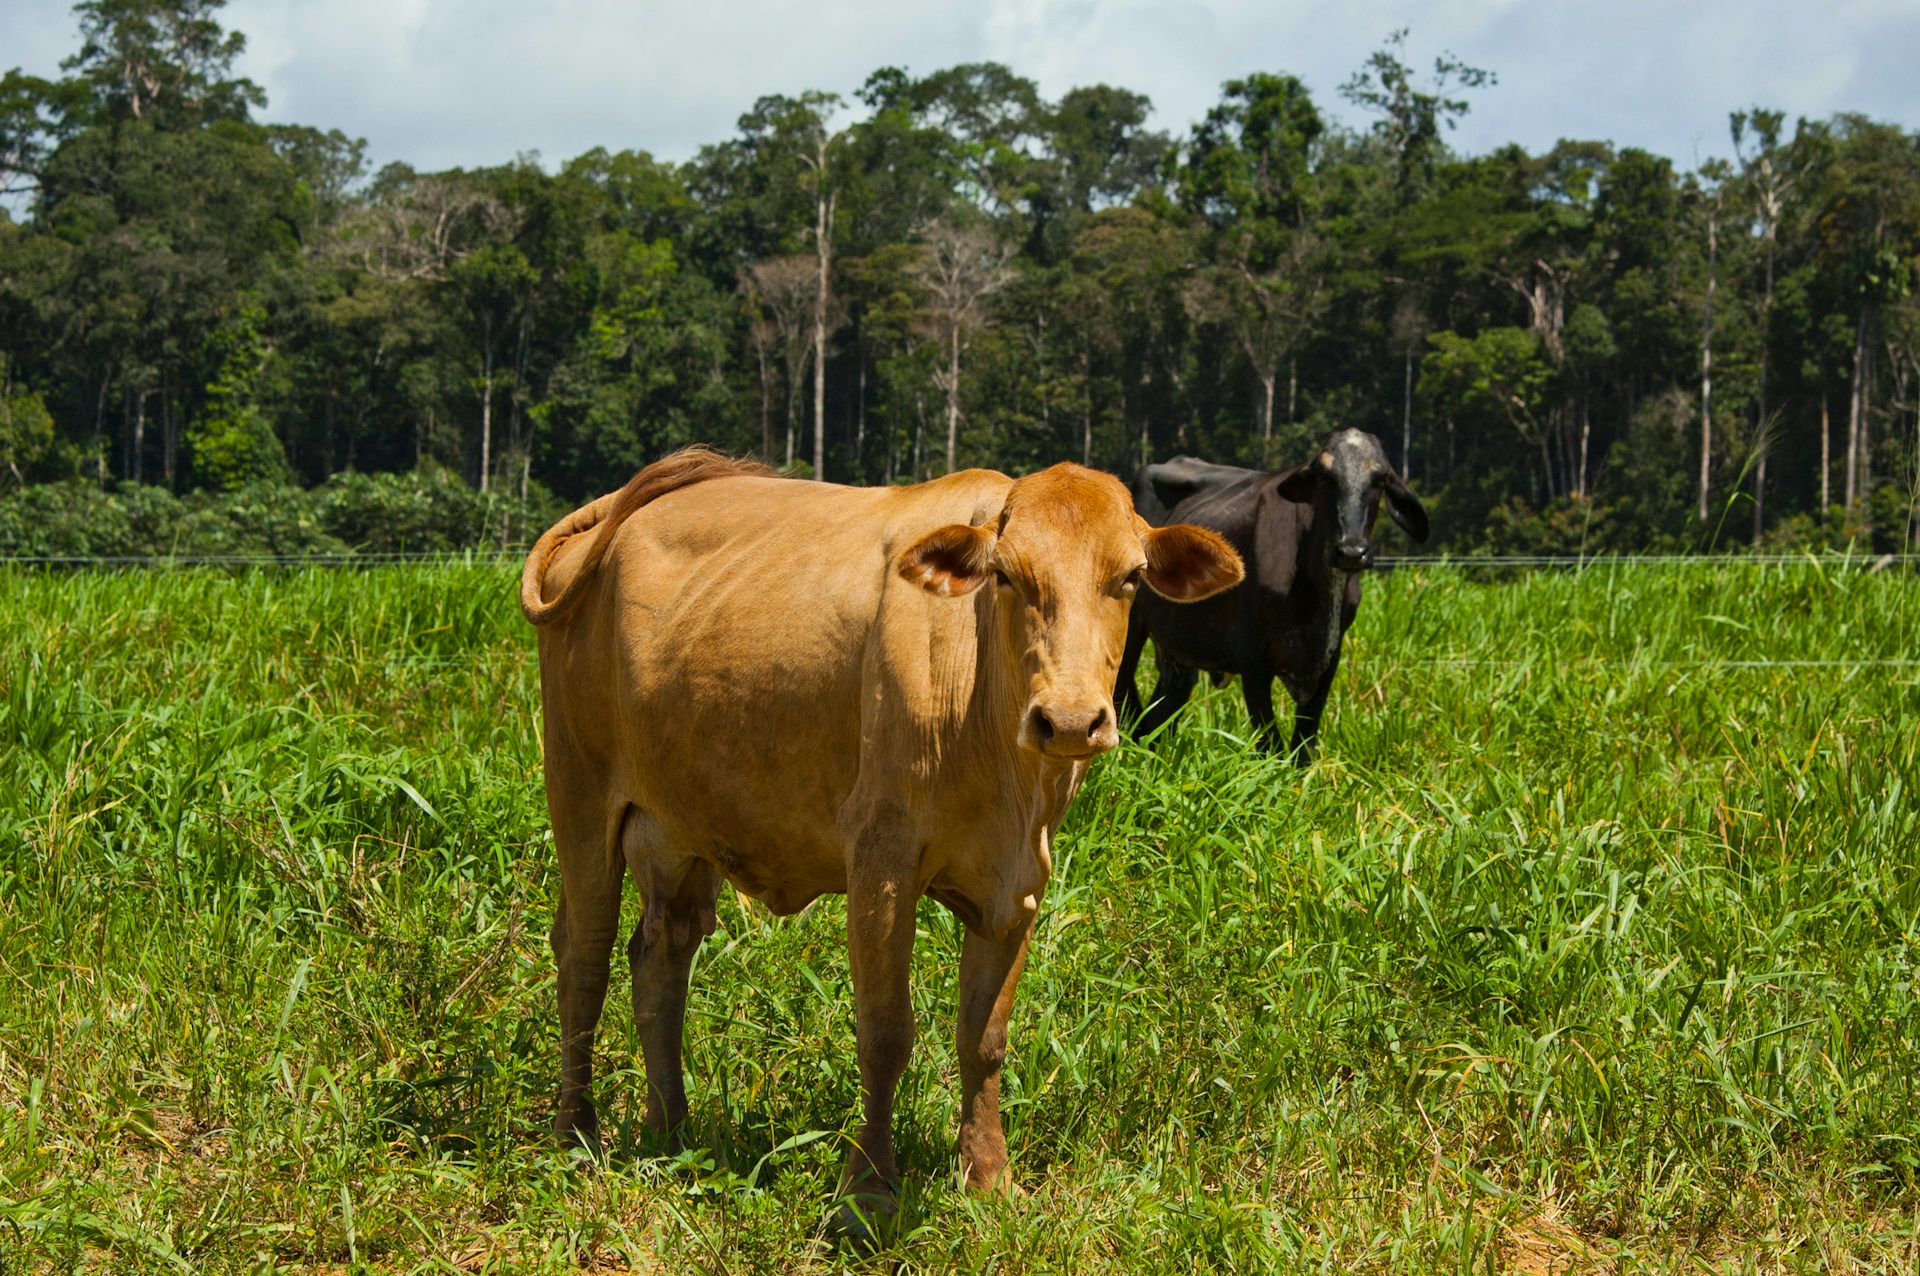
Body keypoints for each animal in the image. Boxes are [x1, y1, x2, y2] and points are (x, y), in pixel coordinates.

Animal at [520, 447, 1242, 1234]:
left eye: (1131, 577)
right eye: (1006, 575)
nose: (1071, 721)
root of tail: (619, 506)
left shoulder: (1018, 882)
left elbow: (983, 1038)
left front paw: (989, 1177)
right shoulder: (880, 863)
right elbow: (886, 1032)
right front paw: (867, 1191)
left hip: (680, 828)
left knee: (659, 961)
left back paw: (670, 1130)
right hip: (580, 794)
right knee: (583, 958)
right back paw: (576, 1132)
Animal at [1116, 428, 1429, 762]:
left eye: (1380, 478)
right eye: (1324, 476)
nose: (1351, 551)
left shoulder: (1329, 659)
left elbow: (1304, 744)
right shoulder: (1252, 659)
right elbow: (1271, 746)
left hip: (1178, 652)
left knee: (1159, 714)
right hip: (1132, 629)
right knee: (1125, 696)